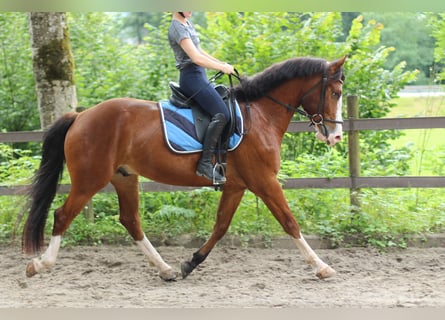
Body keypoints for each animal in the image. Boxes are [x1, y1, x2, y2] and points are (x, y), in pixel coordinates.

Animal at [22, 55, 346, 280]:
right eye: (335, 93)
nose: (336, 136)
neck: (261, 115)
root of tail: (80, 116)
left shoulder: (236, 185)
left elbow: (220, 226)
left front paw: (190, 263)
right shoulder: (264, 181)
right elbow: (289, 222)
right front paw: (322, 267)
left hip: (124, 178)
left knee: (130, 221)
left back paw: (165, 269)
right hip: (90, 179)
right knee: (63, 215)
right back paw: (39, 264)